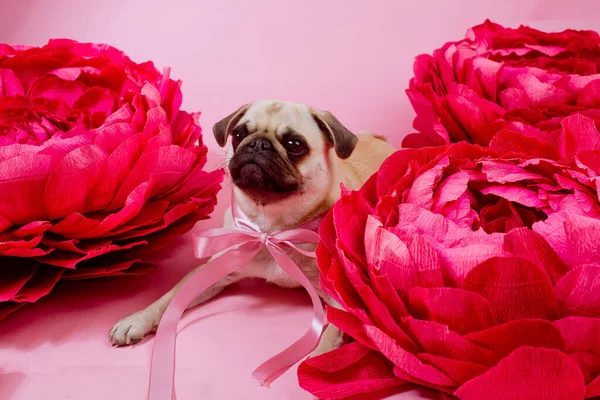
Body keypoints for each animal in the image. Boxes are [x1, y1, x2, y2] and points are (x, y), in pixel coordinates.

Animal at [110, 100, 396, 356]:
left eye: (295, 145)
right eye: (238, 135)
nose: (258, 144)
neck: (272, 228)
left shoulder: (343, 302)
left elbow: (330, 338)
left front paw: (317, 361)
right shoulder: (212, 268)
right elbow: (170, 297)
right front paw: (138, 319)